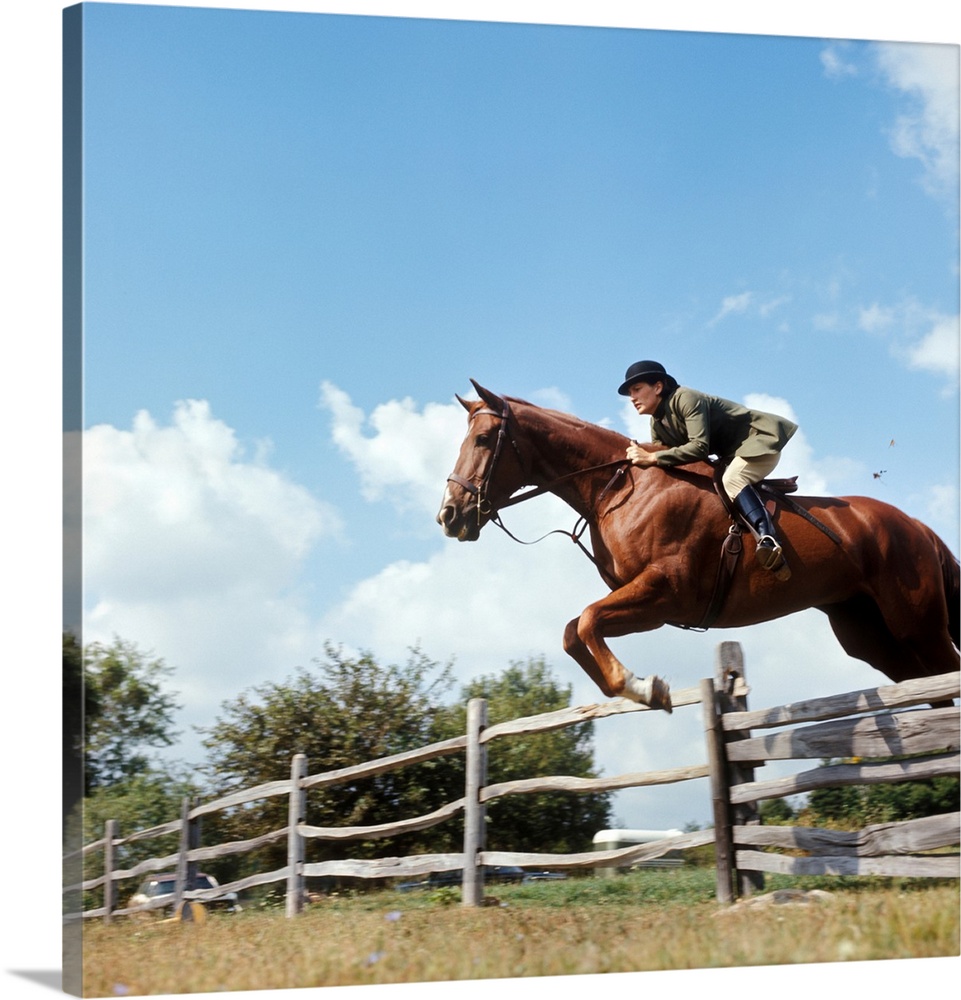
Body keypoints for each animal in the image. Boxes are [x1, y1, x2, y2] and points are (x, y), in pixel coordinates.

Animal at [436, 378, 960, 716]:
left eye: (484, 439)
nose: (449, 515)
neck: (616, 486)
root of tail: (917, 526)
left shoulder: (664, 591)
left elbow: (586, 621)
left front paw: (647, 688)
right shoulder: (649, 605)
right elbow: (574, 630)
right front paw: (638, 690)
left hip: (916, 623)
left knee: (946, 669)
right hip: (869, 633)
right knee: (929, 686)